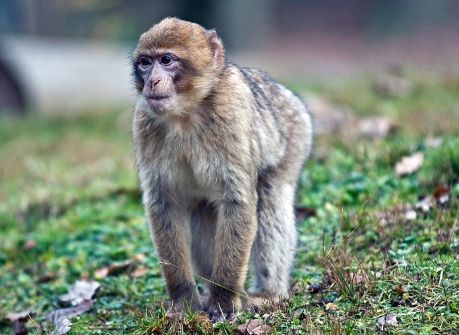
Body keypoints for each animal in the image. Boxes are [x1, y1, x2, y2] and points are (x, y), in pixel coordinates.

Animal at [131, 17, 314, 320]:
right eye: (145, 63)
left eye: (166, 60)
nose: (152, 81)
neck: (186, 115)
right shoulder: (144, 124)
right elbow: (165, 204)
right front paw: (183, 301)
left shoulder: (231, 116)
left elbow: (238, 203)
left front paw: (224, 300)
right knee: (201, 213)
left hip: (295, 135)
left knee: (270, 199)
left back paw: (268, 293)